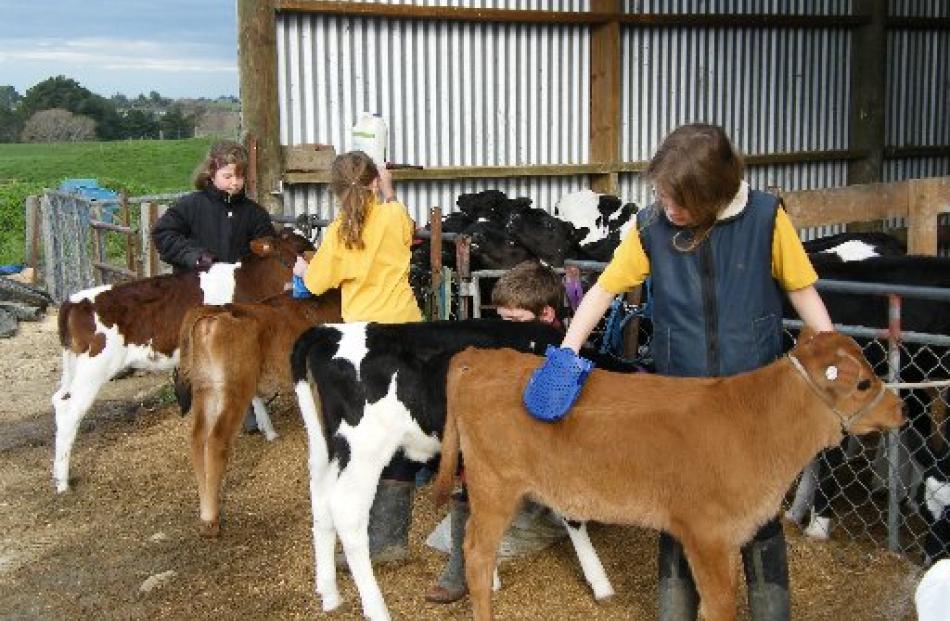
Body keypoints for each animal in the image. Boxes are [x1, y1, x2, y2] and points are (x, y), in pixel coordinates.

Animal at [177, 288, 344, 536]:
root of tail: (216, 311)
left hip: (205, 389)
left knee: (197, 438)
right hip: (235, 389)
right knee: (216, 441)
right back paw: (212, 520)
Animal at [290, 320, 628, 620]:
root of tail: (329, 330)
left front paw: (489, 578)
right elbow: (571, 516)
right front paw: (600, 583)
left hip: (328, 450)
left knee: (321, 503)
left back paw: (329, 594)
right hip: (365, 450)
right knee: (346, 513)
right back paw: (377, 610)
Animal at [436, 330, 904, 620]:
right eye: (863, 384)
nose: (900, 407)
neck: (757, 423)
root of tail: (481, 357)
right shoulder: (708, 534)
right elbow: (719, 605)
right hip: (494, 485)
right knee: (476, 552)